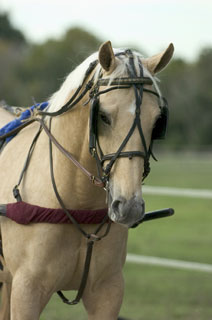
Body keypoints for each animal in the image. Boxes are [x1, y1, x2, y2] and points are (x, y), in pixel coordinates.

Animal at [0, 41, 173, 318]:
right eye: (102, 116)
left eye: (157, 121)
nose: (129, 207)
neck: (76, 202)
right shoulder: (26, 291)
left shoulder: (108, 290)